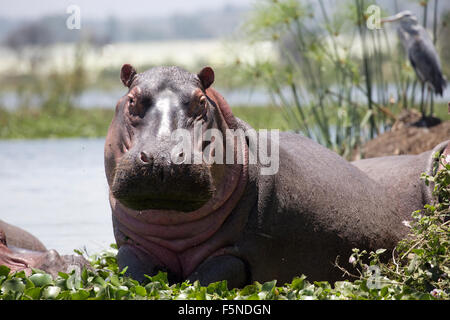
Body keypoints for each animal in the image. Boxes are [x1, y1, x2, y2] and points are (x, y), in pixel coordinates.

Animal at [104, 65, 446, 288]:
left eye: (201, 102)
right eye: (132, 100)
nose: (163, 157)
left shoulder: (237, 252)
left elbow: (209, 276)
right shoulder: (132, 247)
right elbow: (133, 273)